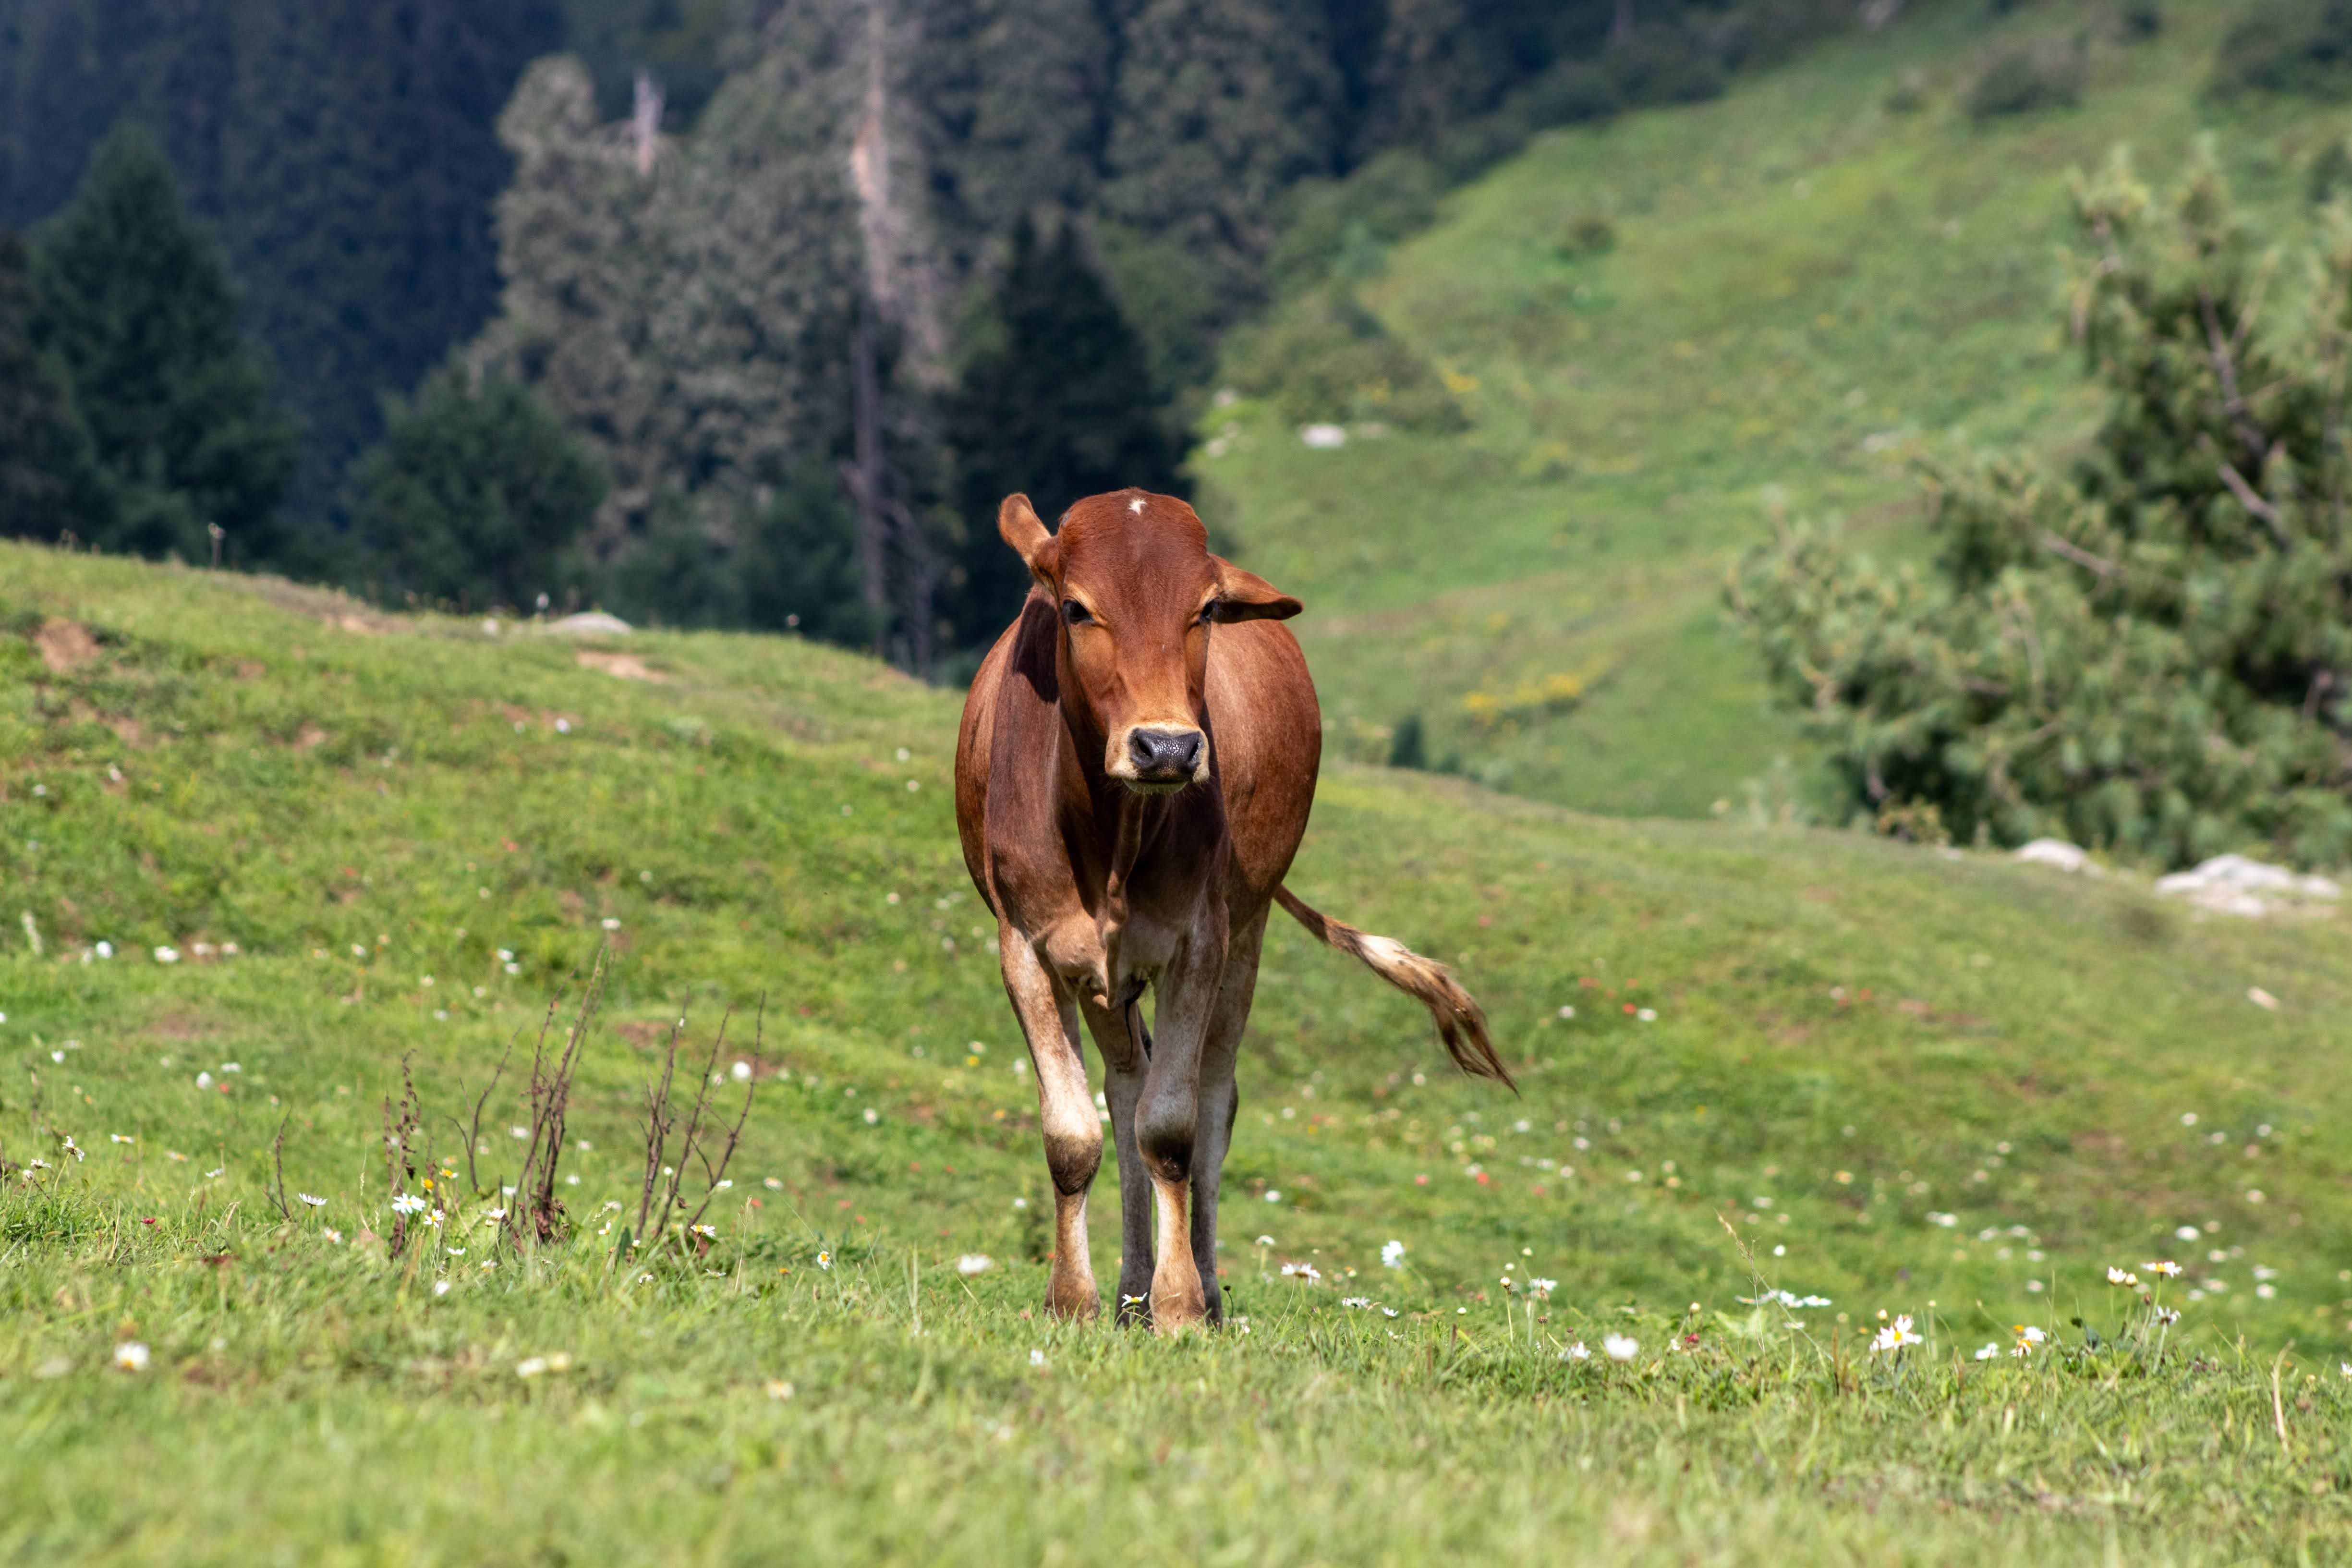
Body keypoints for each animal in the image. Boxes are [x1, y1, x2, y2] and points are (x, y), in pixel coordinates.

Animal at [955, 487, 1512, 1332]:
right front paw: (1073, 1301)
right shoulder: (1025, 943)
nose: (1166, 748)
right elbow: (1073, 1133)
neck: (1110, 837)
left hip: (1246, 934)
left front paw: (1183, 1304)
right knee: (1123, 1089)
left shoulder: (1200, 941)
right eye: (1078, 608)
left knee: (1212, 1100)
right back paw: (1129, 1290)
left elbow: (1172, 1128)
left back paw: (1197, 1289)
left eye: (1207, 610)